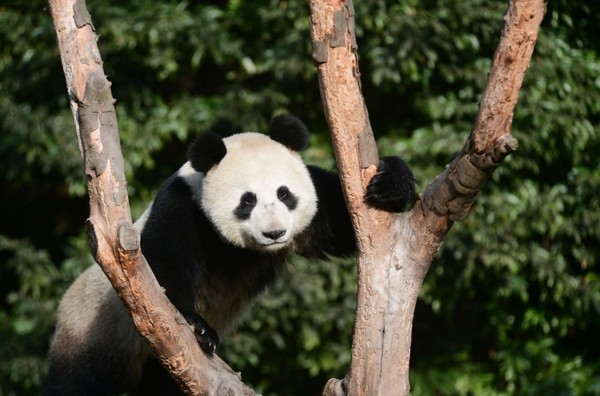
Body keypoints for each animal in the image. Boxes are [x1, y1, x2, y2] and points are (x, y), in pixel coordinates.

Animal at [43, 113, 418, 394]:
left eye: (284, 194)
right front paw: (197, 327)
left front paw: (390, 183)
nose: (275, 233)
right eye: (247, 200)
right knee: (79, 382)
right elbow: (160, 268)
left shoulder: (316, 204)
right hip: (93, 332)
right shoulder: (183, 205)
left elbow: (342, 219)